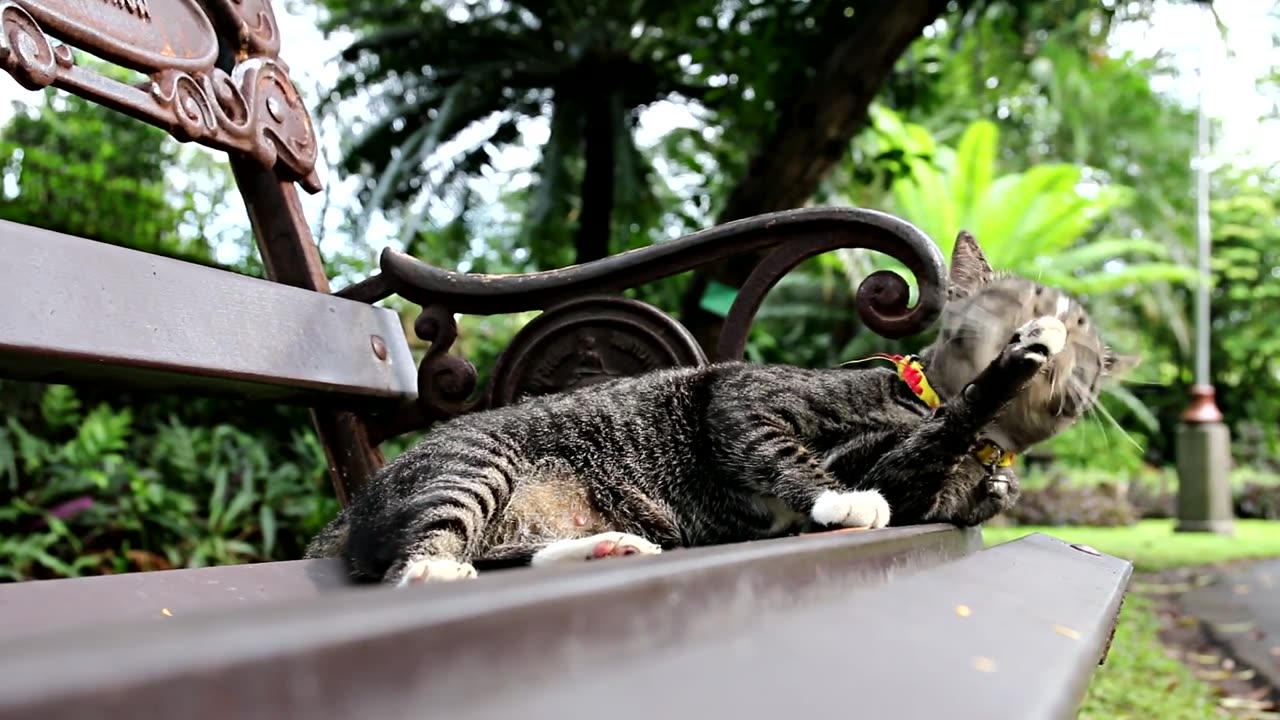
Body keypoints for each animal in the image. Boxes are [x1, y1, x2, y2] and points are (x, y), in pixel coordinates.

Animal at [307, 229, 1141, 584]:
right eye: (1038, 302)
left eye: (1093, 347)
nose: (1068, 344)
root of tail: (351, 512)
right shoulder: (740, 397)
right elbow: (789, 452)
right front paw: (841, 500)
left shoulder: (919, 489)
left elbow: (931, 461)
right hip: (476, 466)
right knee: (415, 560)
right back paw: (438, 573)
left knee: (497, 550)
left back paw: (605, 549)